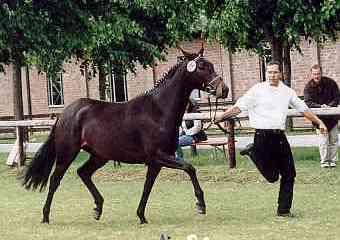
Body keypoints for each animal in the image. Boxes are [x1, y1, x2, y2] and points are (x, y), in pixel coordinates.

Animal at [21, 46, 228, 224]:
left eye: (211, 65)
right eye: (202, 66)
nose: (224, 90)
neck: (158, 111)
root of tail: (65, 113)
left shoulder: (155, 162)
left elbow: (147, 187)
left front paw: (141, 216)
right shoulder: (160, 156)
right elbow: (189, 168)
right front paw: (200, 204)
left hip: (100, 156)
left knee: (83, 173)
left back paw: (98, 208)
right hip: (67, 154)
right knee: (55, 180)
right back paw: (46, 216)